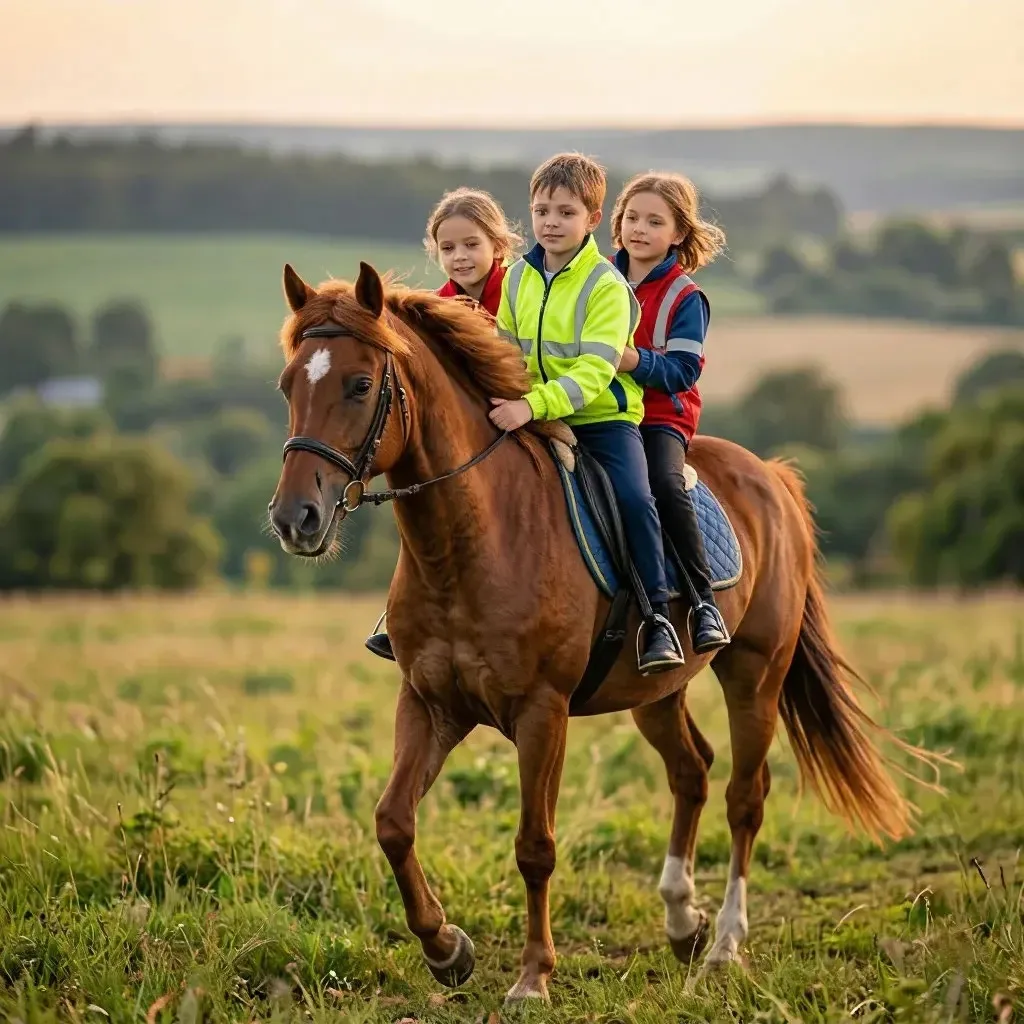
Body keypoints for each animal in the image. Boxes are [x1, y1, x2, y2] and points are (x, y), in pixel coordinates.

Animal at [268, 261, 940, 1004]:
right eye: (289, 384)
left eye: (360, 385)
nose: (295, 517)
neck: (472, 540)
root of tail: (771, 476)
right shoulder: (430, 702)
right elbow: (392, 822)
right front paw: (446, 949)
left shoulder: (543, 713)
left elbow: (535, 845)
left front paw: (533, 976)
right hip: (656, 692)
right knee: (692, 771)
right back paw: (682, 922)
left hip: (755, 675)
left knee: (745, 796)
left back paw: (724, 945)